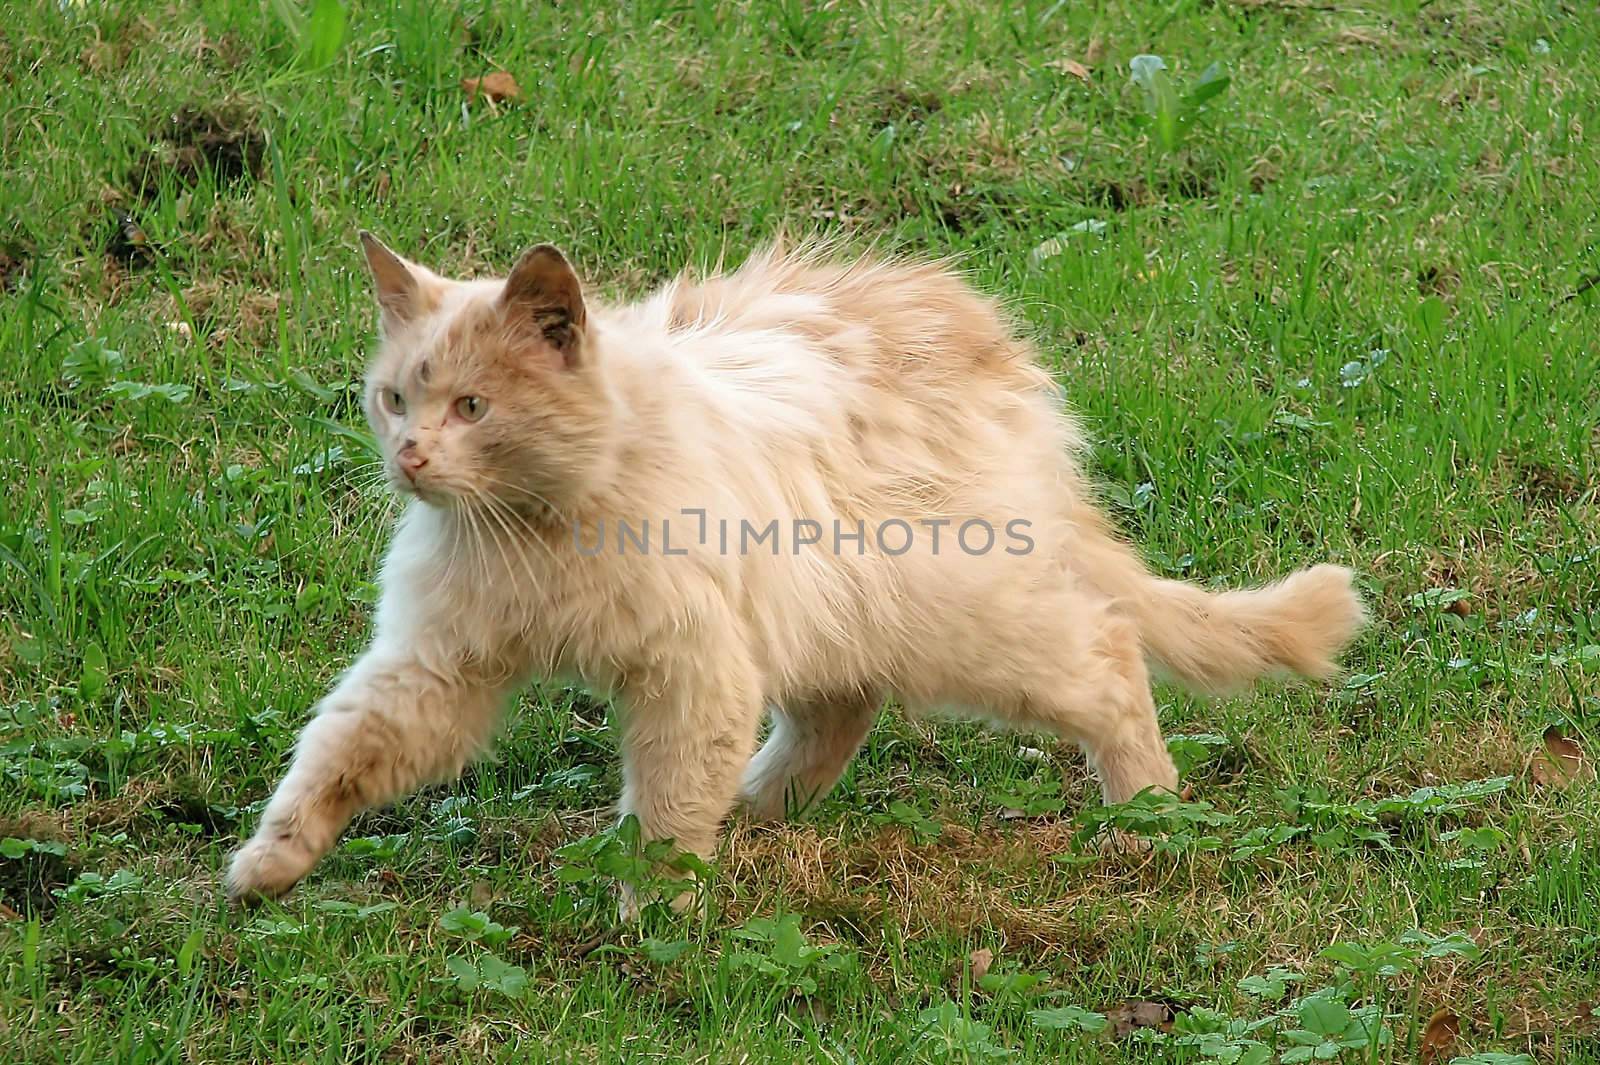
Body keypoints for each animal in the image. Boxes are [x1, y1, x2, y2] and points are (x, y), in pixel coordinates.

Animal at [222, 235, 1363, 901]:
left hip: (968, 626)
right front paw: (267, 868)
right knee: (837, 712)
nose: (410, 457)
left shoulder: (691, 675)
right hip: (837, 617)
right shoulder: (434, 668)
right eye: (395, 400)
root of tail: (1001, 358)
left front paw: (654, 925)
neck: (534, 533)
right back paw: (761, 809)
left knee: (1112, 659)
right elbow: (334, 758)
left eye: (472, 406)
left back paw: (1149, 817)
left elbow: (666, 813)